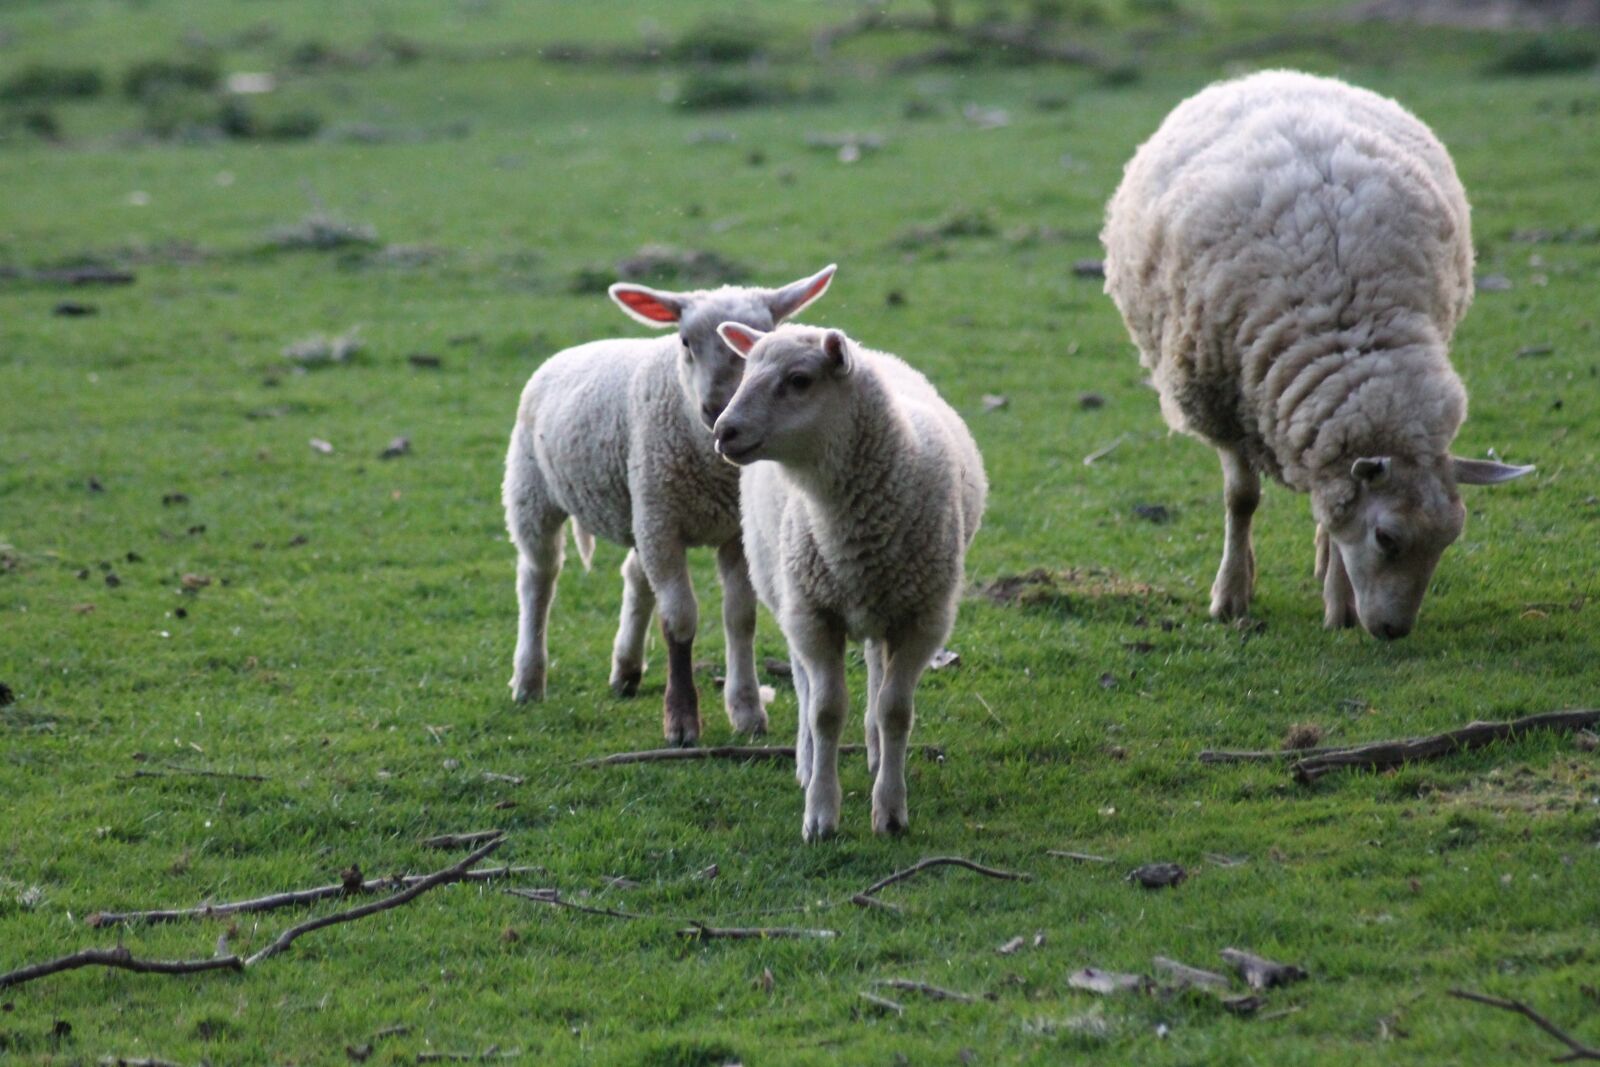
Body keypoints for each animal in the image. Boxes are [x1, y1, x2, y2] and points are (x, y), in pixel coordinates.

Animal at [502, 264, 836, 744]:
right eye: (684, 341)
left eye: (761, 338)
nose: (717, 408)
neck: (713, 468)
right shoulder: (663, 523)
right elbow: (679, 619)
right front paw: (681, 720)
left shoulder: (729, 532)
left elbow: (740, 618)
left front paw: (747, 710)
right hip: (534, 492)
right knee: (538, 578)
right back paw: (529, 680)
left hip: (639, 508)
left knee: (634, 574)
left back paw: (625, 670)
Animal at [711, 323, 986, 841]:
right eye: (746, 369)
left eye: (799, 380)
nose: (722, 431)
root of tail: (870, 350)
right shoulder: (813, 615)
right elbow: (825, 711)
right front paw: (820, 814)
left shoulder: (924, 619)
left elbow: (895, 709)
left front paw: (891, 810)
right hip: (787, 591)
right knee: (803, 682)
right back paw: (805, 761)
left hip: (884, 602)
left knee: (877, 667)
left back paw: (876, 752)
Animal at [1101, 70, 1532, 639]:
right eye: (1386, 538)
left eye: (1450, 538)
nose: (1394, 630)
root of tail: (1277, 74)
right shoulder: (1224, 399)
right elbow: (1241, 499)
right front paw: (1231, 594)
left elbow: (1331, 514)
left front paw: (1339, 600)